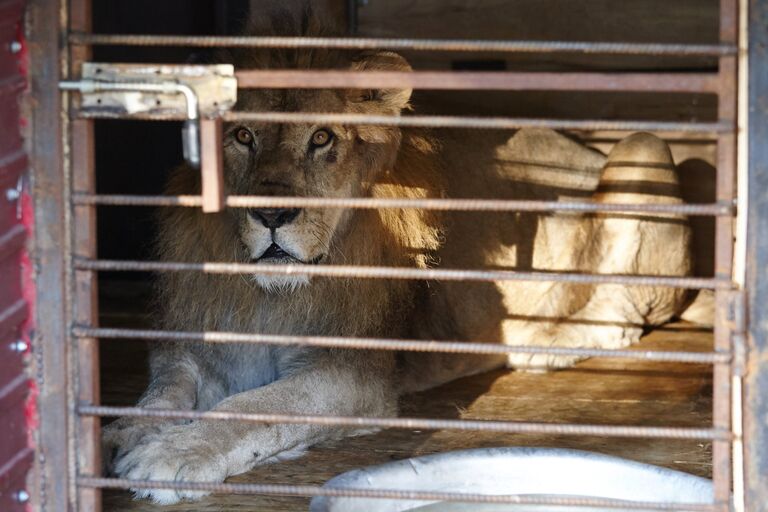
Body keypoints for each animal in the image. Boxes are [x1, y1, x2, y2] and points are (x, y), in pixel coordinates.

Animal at [102, 1, 708, 504]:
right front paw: (127, 430)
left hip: (641, 148)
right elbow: (165, 389)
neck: (273, 294)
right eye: (243, 136)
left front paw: (175, 454)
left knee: (626, 316)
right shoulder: (198, 339)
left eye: (321, 138)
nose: (271, 216)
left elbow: (257, 406)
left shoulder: (355, 372)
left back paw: (542, 347)